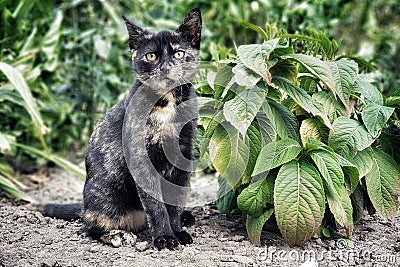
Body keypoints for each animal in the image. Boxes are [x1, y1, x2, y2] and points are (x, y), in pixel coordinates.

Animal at [34, 8, 202, 251]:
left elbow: (175, 201)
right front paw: (165, 237)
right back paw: (118, 235)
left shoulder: (183, 155)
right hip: (106, 196)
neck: (167, 104)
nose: (165, 68)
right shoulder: (141, 159)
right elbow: (156, 205)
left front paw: (178, 231)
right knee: (90, 226)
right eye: (151, 56)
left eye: (179, 54)